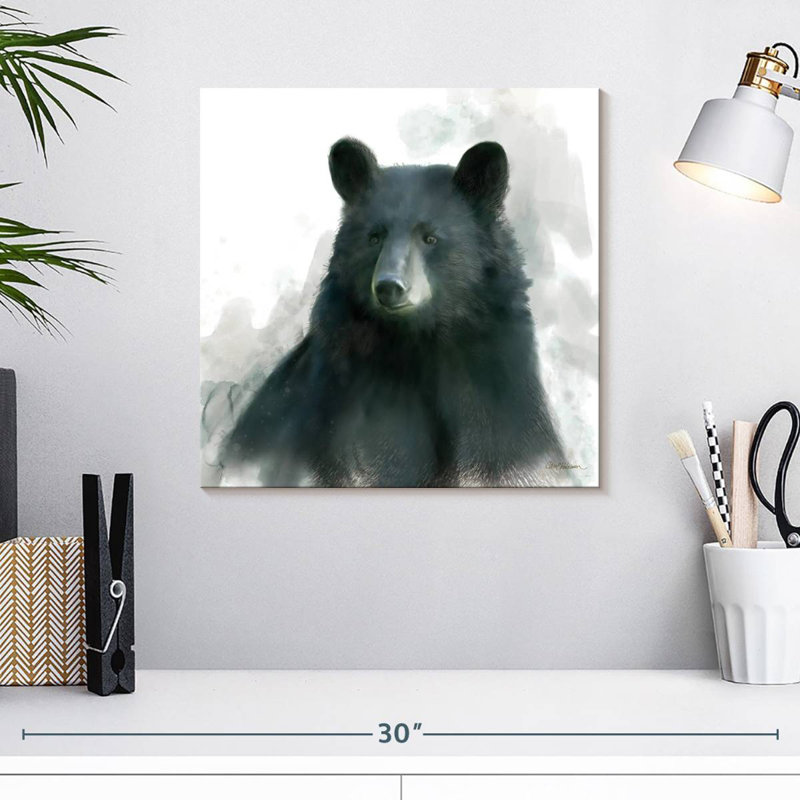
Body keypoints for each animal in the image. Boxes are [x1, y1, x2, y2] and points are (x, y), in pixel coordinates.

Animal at [221, 138, 564, 487]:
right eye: (374, 237)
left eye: (430, 237)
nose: (389, 286)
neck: (419, 342)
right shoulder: (351, 398)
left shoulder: (495, 385)